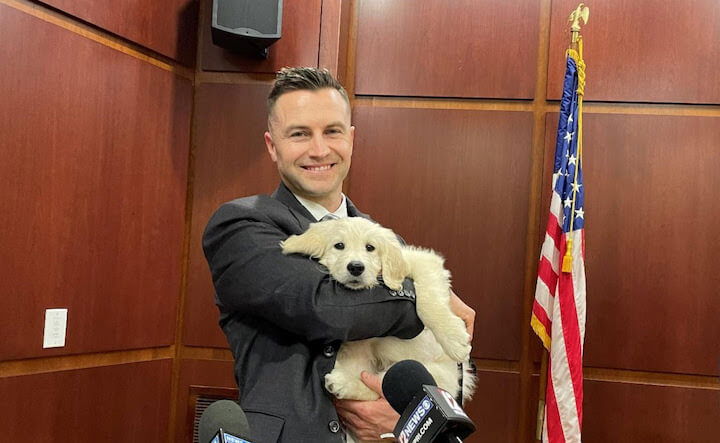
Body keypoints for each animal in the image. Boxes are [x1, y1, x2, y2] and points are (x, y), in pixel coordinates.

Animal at [282, 217, 478, 404]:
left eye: (370, 247)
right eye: (339, 245)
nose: (356, 267)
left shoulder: (421, 262)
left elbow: (429, 299)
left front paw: (454, 340)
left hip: (433, 375)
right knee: (375, 382)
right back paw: (344, 384)